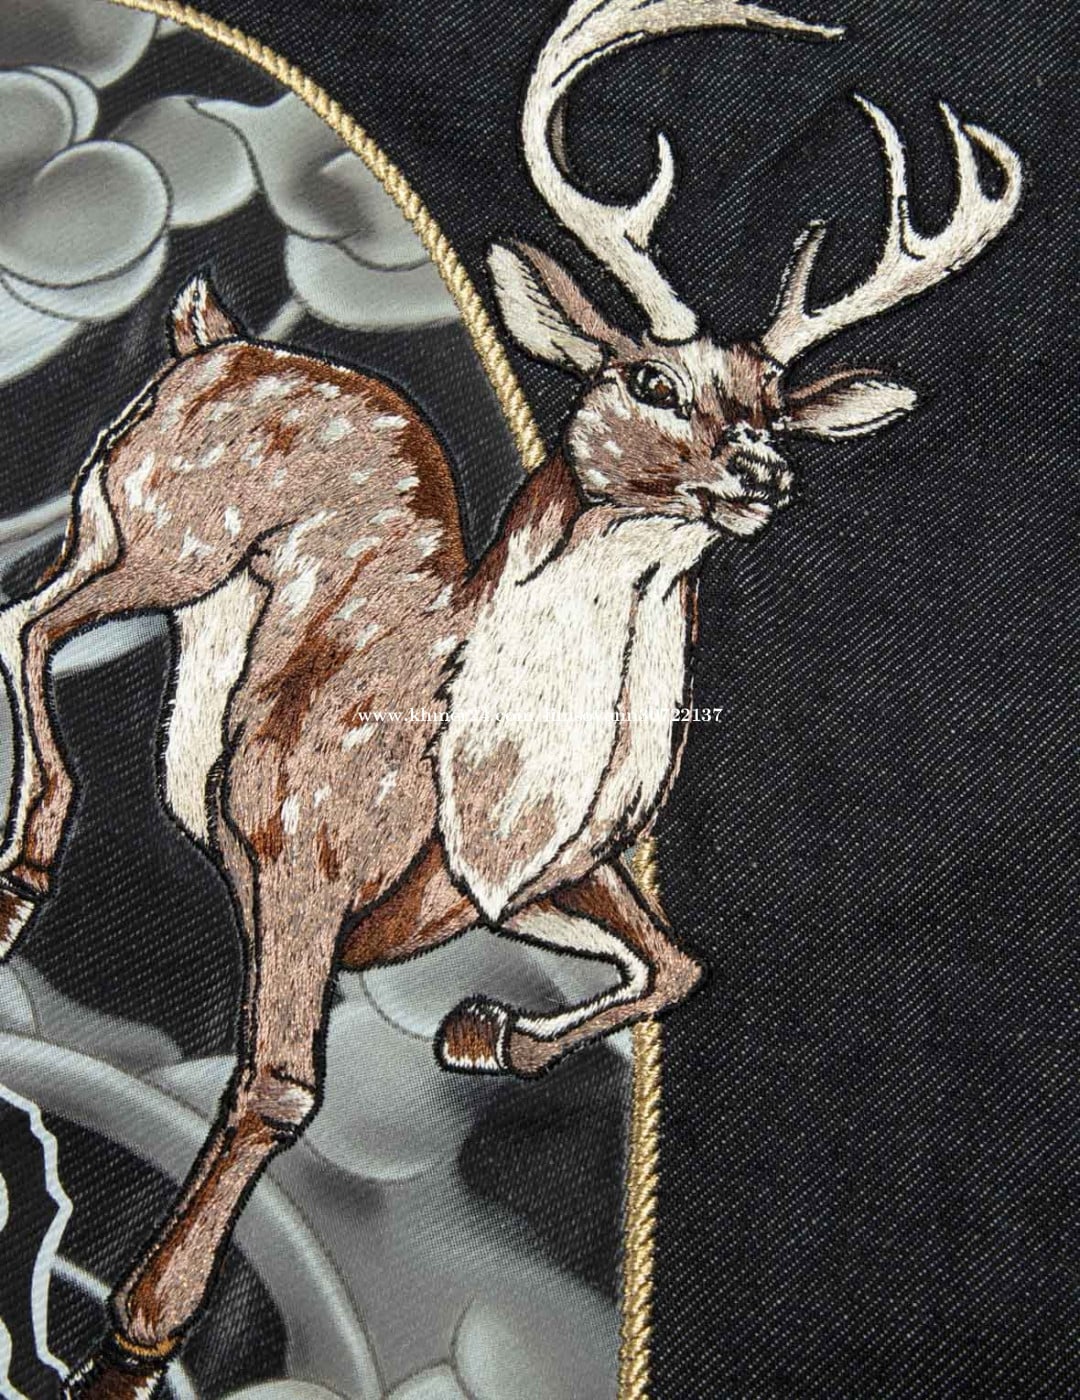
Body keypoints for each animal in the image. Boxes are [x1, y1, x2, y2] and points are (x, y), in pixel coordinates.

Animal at [0, 1, 1019, 1395]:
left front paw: (482, 1033)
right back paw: (21, 879)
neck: (471, 765)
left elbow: (681, 963)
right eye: (651, 380)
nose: (763, 476)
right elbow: (281, 1086)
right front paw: (134, 1344)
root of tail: (211, 331)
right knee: (27, 619)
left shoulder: (540, 876)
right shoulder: (296, 838)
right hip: (155, 528)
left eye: (778, 409)